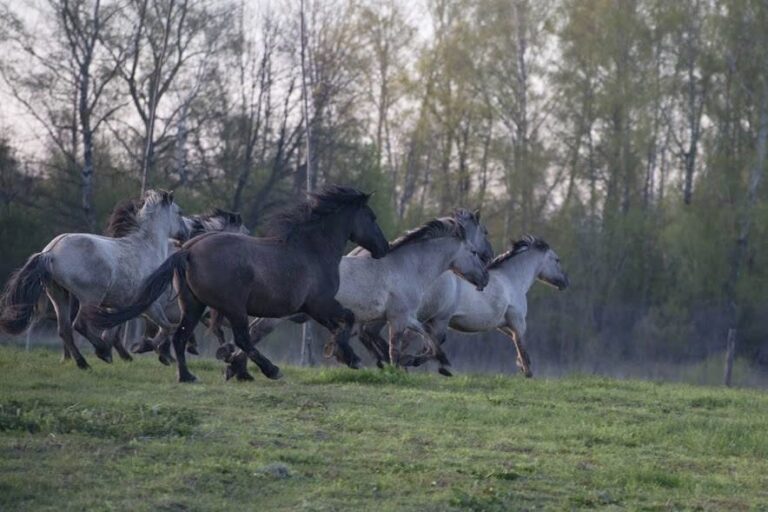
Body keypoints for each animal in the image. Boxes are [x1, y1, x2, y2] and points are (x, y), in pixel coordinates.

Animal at [0, 190, 190, 370]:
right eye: (179, 212)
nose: (186, 233)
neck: (146, 248)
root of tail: (50, 252)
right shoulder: (150, 304)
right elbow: (167, 327)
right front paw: (142, 347)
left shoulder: (117, 306)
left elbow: (112, 330)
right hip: (90, 298)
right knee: (79, 325)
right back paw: (100, 351)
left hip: (59, 296)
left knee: (65, 330)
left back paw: (84, 362)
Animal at [85, 186, 390, 382]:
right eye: (372, 217)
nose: (384, 248)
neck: (312, 250)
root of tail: (188, 250)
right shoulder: (319, 304)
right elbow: (348, 320)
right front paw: (349, 357)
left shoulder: (316, 308)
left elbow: (343, 324)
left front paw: (344, 354)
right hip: (233, 307)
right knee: (240, 337)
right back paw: (270, 370)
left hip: (194, 306)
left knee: (181, 337)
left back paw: (187, 375)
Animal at [240, 208, 492, 380]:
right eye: (473, 251)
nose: (485, 277)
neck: (408, 267)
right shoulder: (400, 319)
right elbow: (399, 347)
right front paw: (399, 369)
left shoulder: (406, 318)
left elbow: (428, 341)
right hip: (277, 316)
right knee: (253, 334)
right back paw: (255, 370)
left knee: (249, 334)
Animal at [392, 235, 568, 376]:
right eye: (557, 260)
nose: (566, 282)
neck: (512, 280)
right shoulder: (518, 322)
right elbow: (521, 344)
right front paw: (527, 371)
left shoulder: (501, 324)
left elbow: (515, 341)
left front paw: (521, 365)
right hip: (433, 318)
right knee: (423, 341)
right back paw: (408, 362)